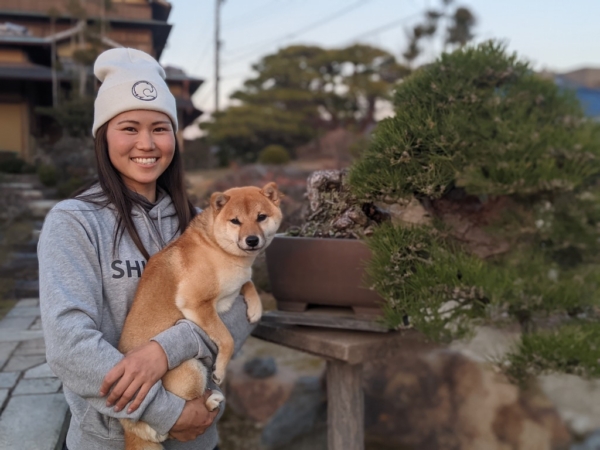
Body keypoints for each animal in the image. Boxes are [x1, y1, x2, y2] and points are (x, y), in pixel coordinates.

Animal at [119, 181, 284, 448]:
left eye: (261, 217)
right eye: (235, 221)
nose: (251, 240)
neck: (216, 247)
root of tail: (127, 428)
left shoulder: (228, 294)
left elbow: (247, 282)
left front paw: (255, 307)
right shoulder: (196, 304)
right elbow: (226, 338)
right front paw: (220, 370)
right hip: (190, 369)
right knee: (164, 428)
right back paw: (209, 402)